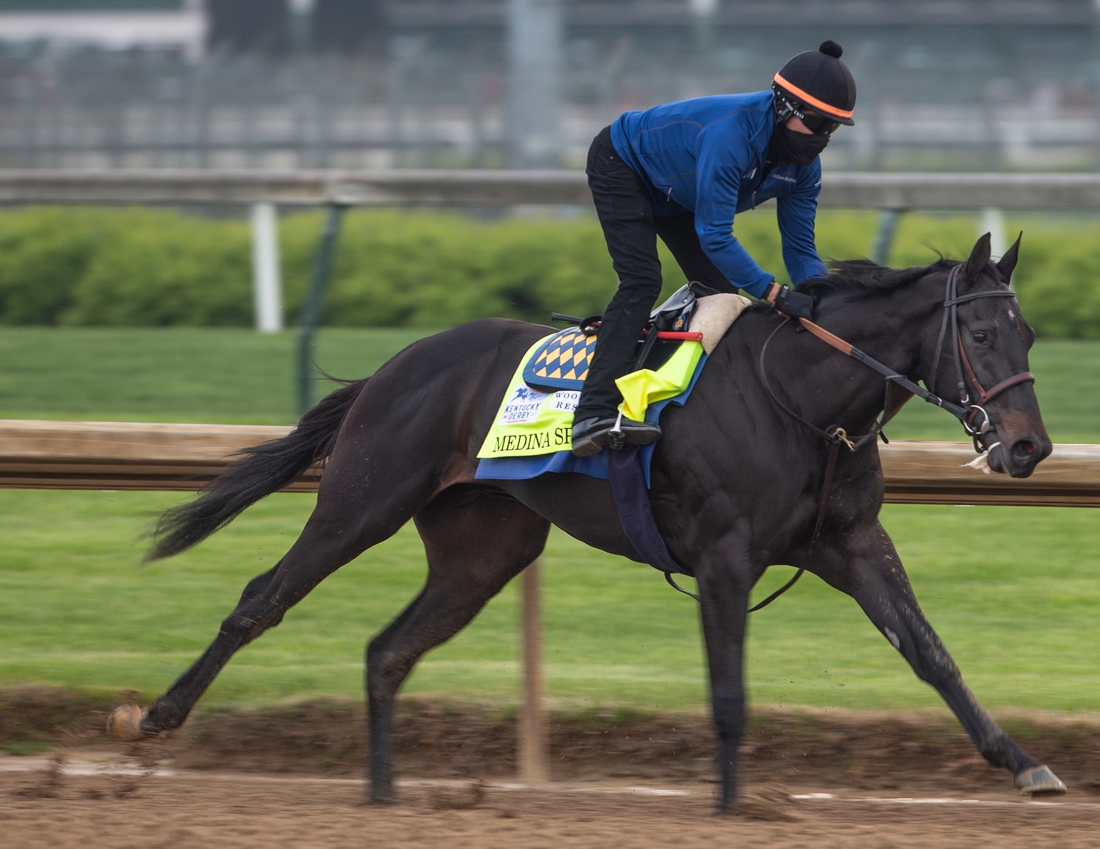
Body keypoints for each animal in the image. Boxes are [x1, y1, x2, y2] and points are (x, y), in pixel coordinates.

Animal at [107, 230, 1060, 809]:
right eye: (980, 336)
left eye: (1031, 336)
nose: (1029, 447)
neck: (801, 397)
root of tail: (393, 365)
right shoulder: (725, 554)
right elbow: (729, 692)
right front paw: (730, 803)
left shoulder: (852, 543)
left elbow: (932, 655)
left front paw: (1022, 762)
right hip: (362, 501)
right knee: (263, 596)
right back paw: (154, 715)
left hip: (482, 550)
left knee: (387, 651)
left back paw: (383, 793)